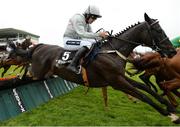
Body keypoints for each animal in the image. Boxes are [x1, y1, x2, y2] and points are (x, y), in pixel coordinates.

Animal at [10, 13, 180, 123]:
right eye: (158, 30)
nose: (172, 51)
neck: (112, 52)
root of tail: (39, 46)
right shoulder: (116, 82)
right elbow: (142, 95)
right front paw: (169, 114)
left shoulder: (120, 77)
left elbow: (145, 87)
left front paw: (170, 106)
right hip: (37, 72)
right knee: (26, 73)